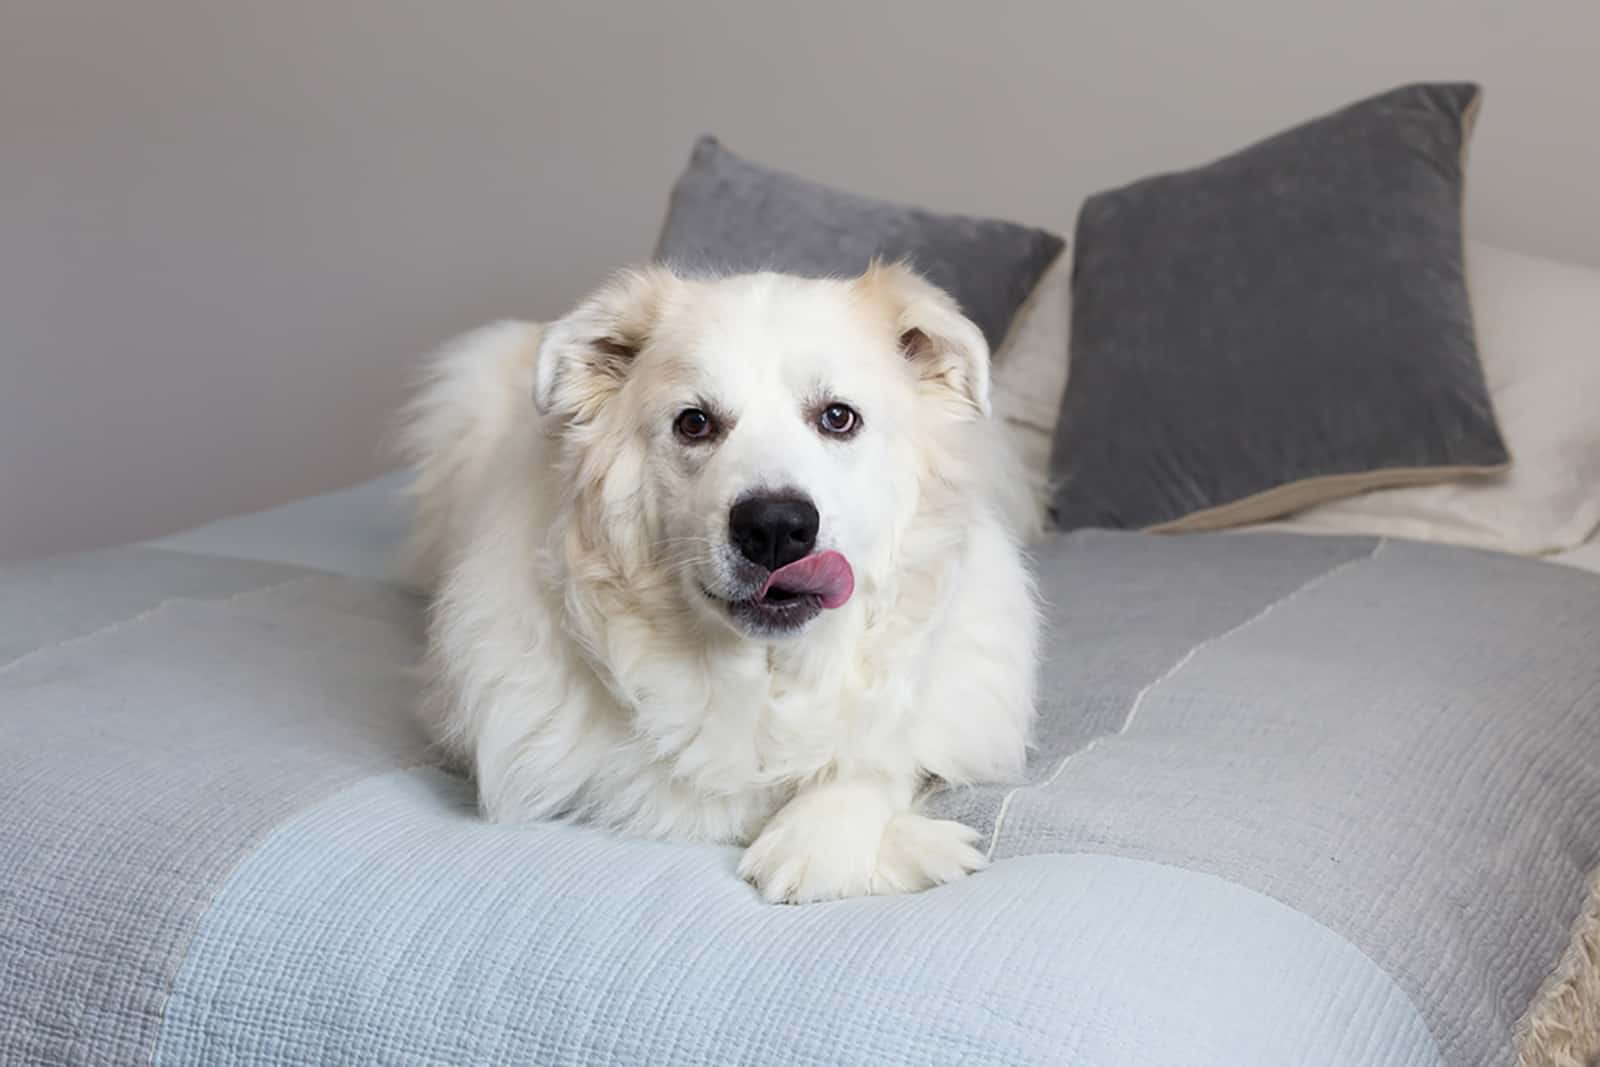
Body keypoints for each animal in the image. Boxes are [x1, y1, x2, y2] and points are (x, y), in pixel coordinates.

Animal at [403, 262, 1036, 908]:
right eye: (694, 423)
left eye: (838, 417)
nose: (776, 528)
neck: (767, 671)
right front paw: (915, 848)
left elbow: (878, 750)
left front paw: (825, 839)